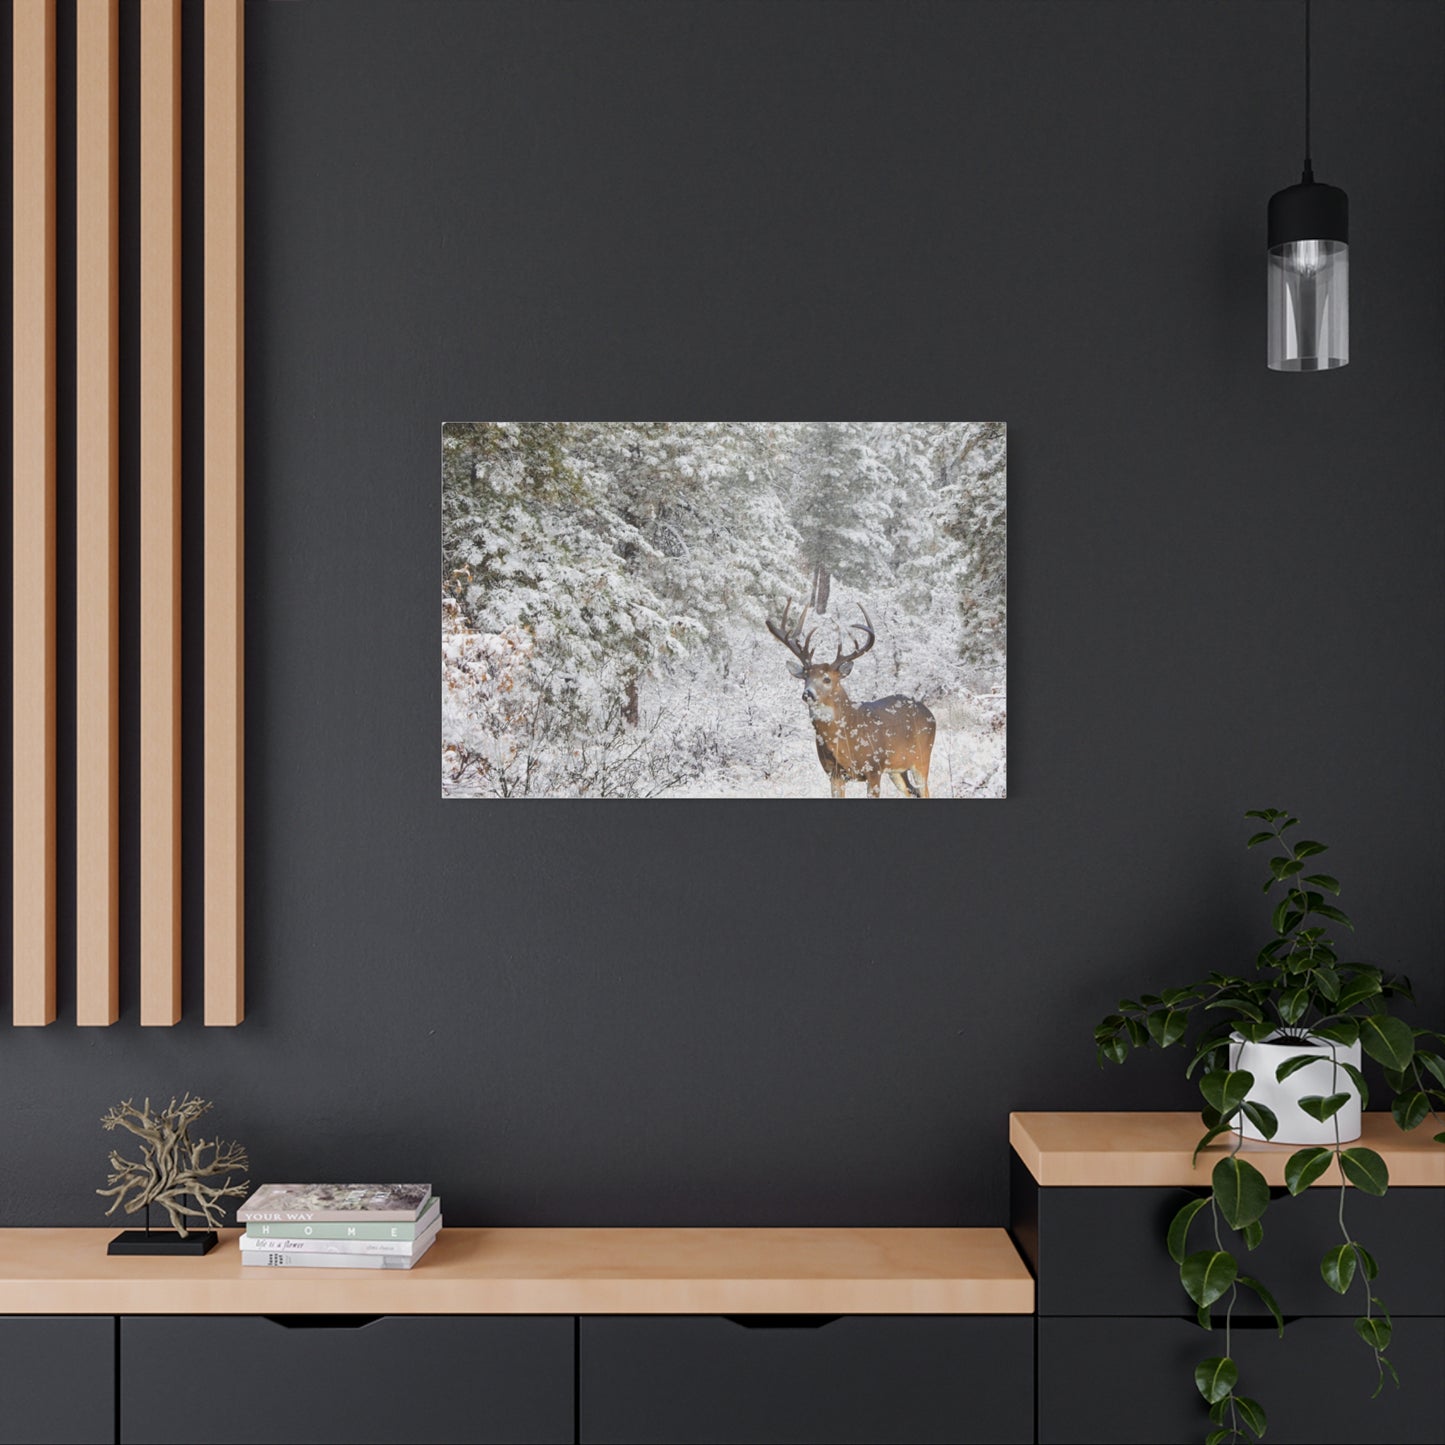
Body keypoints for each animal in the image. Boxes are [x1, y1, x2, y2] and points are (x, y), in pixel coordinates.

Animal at [766, 599, 936, 797]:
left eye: (827, 679)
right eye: (805, 677)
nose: (807, 693)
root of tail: (929, 713)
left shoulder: (874, 768)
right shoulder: (834, 773)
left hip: (922, 758)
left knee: (925, 791)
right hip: (897, 770)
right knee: (911, 792)